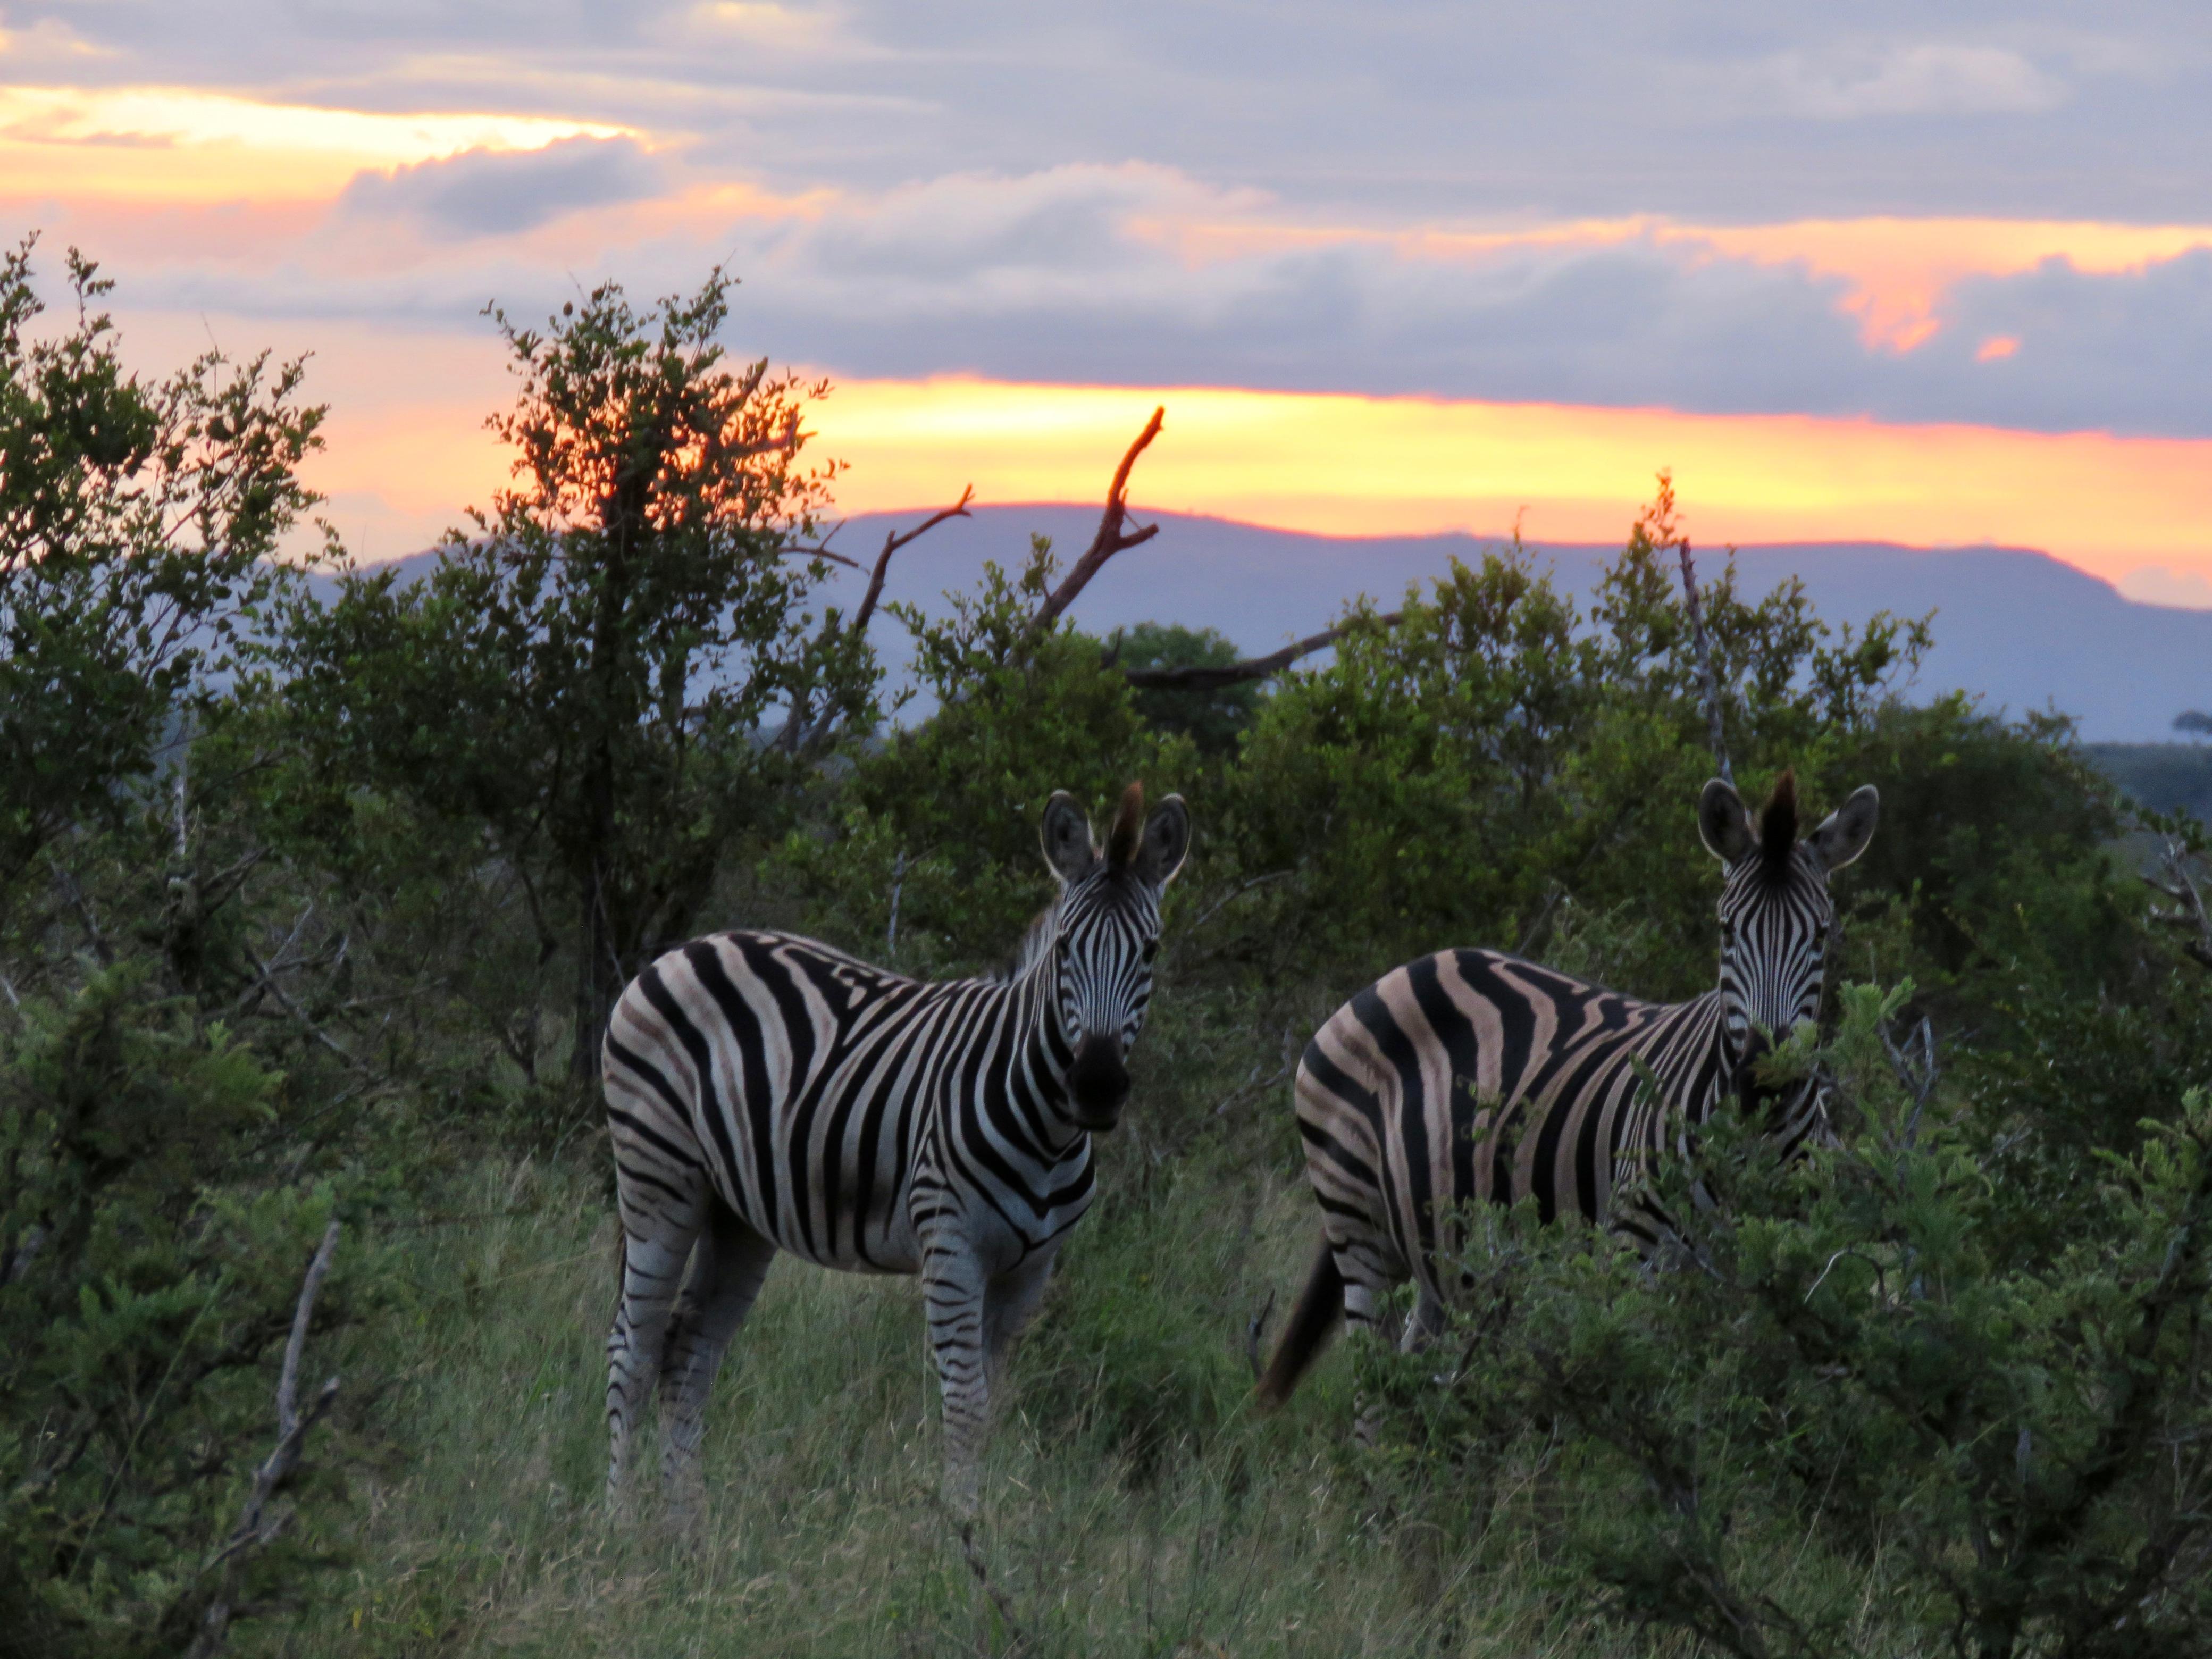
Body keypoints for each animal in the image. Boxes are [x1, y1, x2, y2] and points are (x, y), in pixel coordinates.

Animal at [602, 783, 1190, 1519]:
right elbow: (964, 1409)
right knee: (633, 1350)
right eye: (1063, 950)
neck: (1049, 1132)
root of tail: (683, 950)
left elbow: (991, 1408)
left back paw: (687, 1526)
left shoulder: (1031, 1272)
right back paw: (620, 1523)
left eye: (1151, 951)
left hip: (735, 1213)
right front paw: (956, 1534)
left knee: (688, 1354)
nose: (1097, 1086)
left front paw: (975, 1527)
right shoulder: (951, 1248)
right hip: (657, 1177)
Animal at [1255, 770, 1877, 1409]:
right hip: (1357, 1225)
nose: (1761, 1078)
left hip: (1440, 1248)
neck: (1752, 1146)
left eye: (1822, 936)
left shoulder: (1787, 1273)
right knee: (1372, 1389)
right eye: (1726, 931)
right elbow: (1643, 1402)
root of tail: (1403, 969)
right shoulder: (1635, 1253)